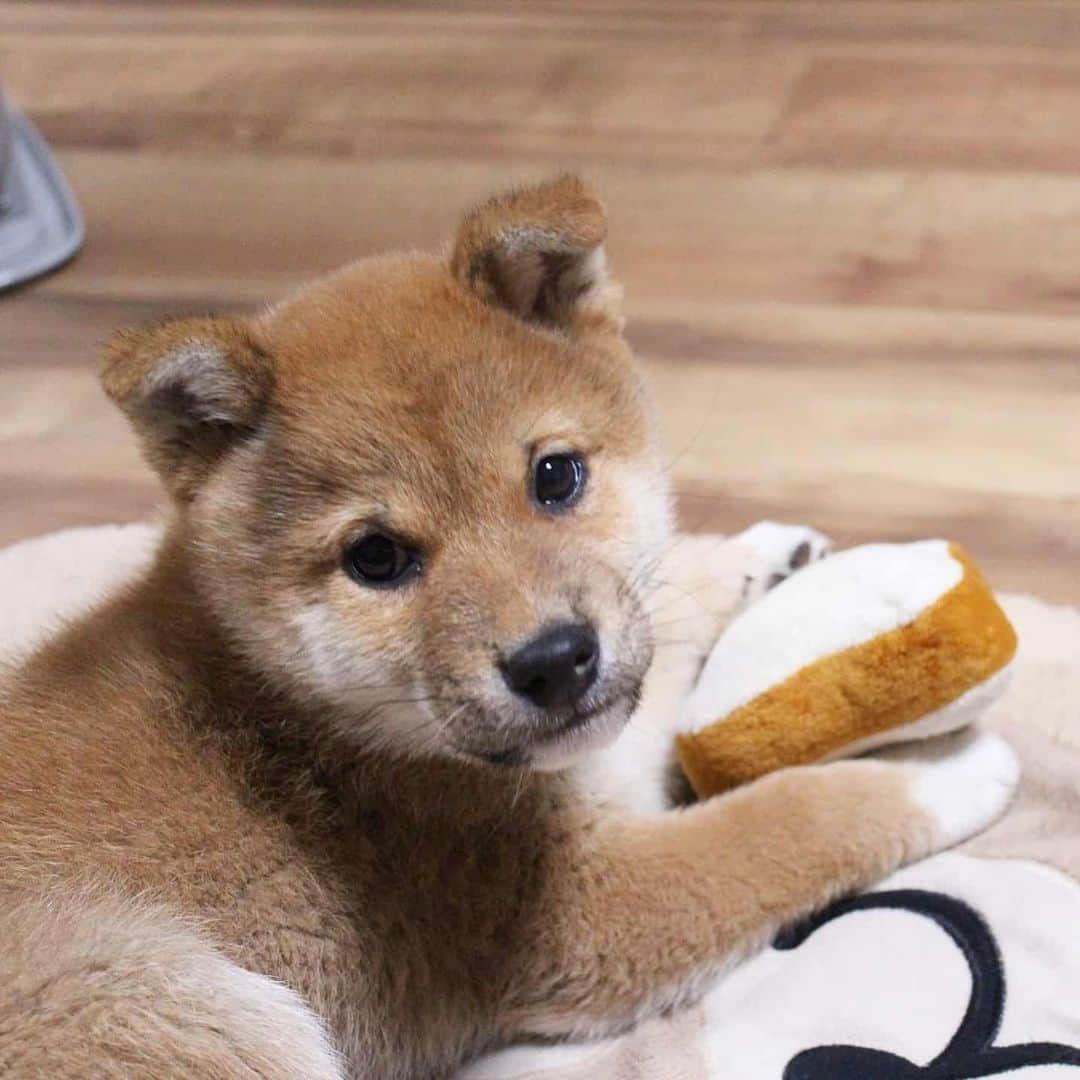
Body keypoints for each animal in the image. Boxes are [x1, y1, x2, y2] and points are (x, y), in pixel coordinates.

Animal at [0, 179, 1015, 1080]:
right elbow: (793, 817)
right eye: (376, 559)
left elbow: (663, 602)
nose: (555, 662)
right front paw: (942, 769)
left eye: (556, 476)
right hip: (171, 1000)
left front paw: (753, 555)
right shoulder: (580, 912)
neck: (298, 712)